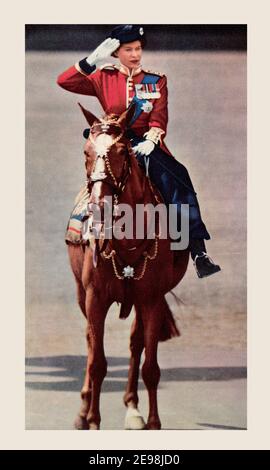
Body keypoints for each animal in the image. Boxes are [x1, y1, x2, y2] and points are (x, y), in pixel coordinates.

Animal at [67, 103, 190, 430]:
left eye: (123, 151)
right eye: (86, 151)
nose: (98, 207)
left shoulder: (151, 298)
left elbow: (151, 367)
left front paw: (154, 422)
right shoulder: (95, 297)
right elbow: (97, 362)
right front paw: (93, 420)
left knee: (136, 344)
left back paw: (133, 407)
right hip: (82, 294)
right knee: (90, 342)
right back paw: (83, 410)